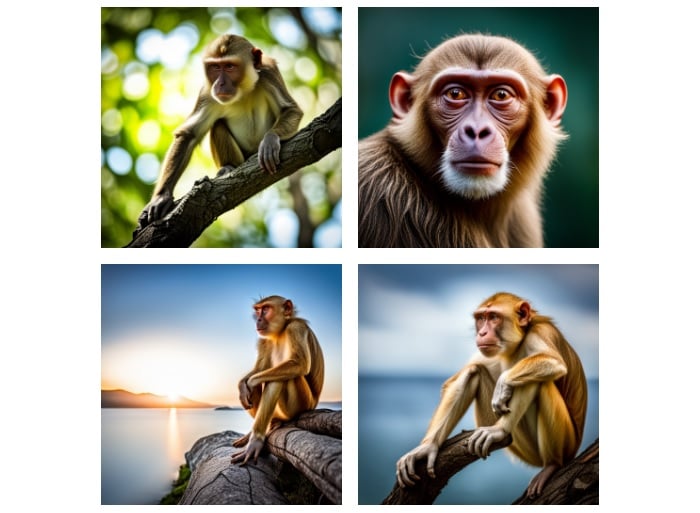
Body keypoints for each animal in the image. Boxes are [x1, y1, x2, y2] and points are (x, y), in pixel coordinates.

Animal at [139, 34, 303, 228]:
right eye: (215, 67)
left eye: (230, 66)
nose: (220, 83)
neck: (243, 90)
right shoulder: (207, 92)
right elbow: (189, 134)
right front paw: (161, 196)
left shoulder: (269, 73)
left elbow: (291, 110)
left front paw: (270, 140)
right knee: (217, 125)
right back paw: (228, 167)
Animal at [231, 295, 324, 465]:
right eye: (258, 310)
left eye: (266, 309)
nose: (258, 319)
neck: (281, 332)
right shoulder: (264, 340)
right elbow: (258, 371)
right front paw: (242, 385)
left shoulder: (296, 327)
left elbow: (299, 364)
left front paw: (249, 383)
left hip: (302, 404)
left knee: (280, 379)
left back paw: (257, 439)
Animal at [396, 292, 587, 498]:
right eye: (481, 318)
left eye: (494, 317)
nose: (482, 333)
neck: (519, 342)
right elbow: (454, 381)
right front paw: (427, 447)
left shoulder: (542, 332)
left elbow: (554, 363)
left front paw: (504, 383)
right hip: (519, 444)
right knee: (476, 370)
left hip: (566, 442)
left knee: (540, 381)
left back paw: (541, 457)